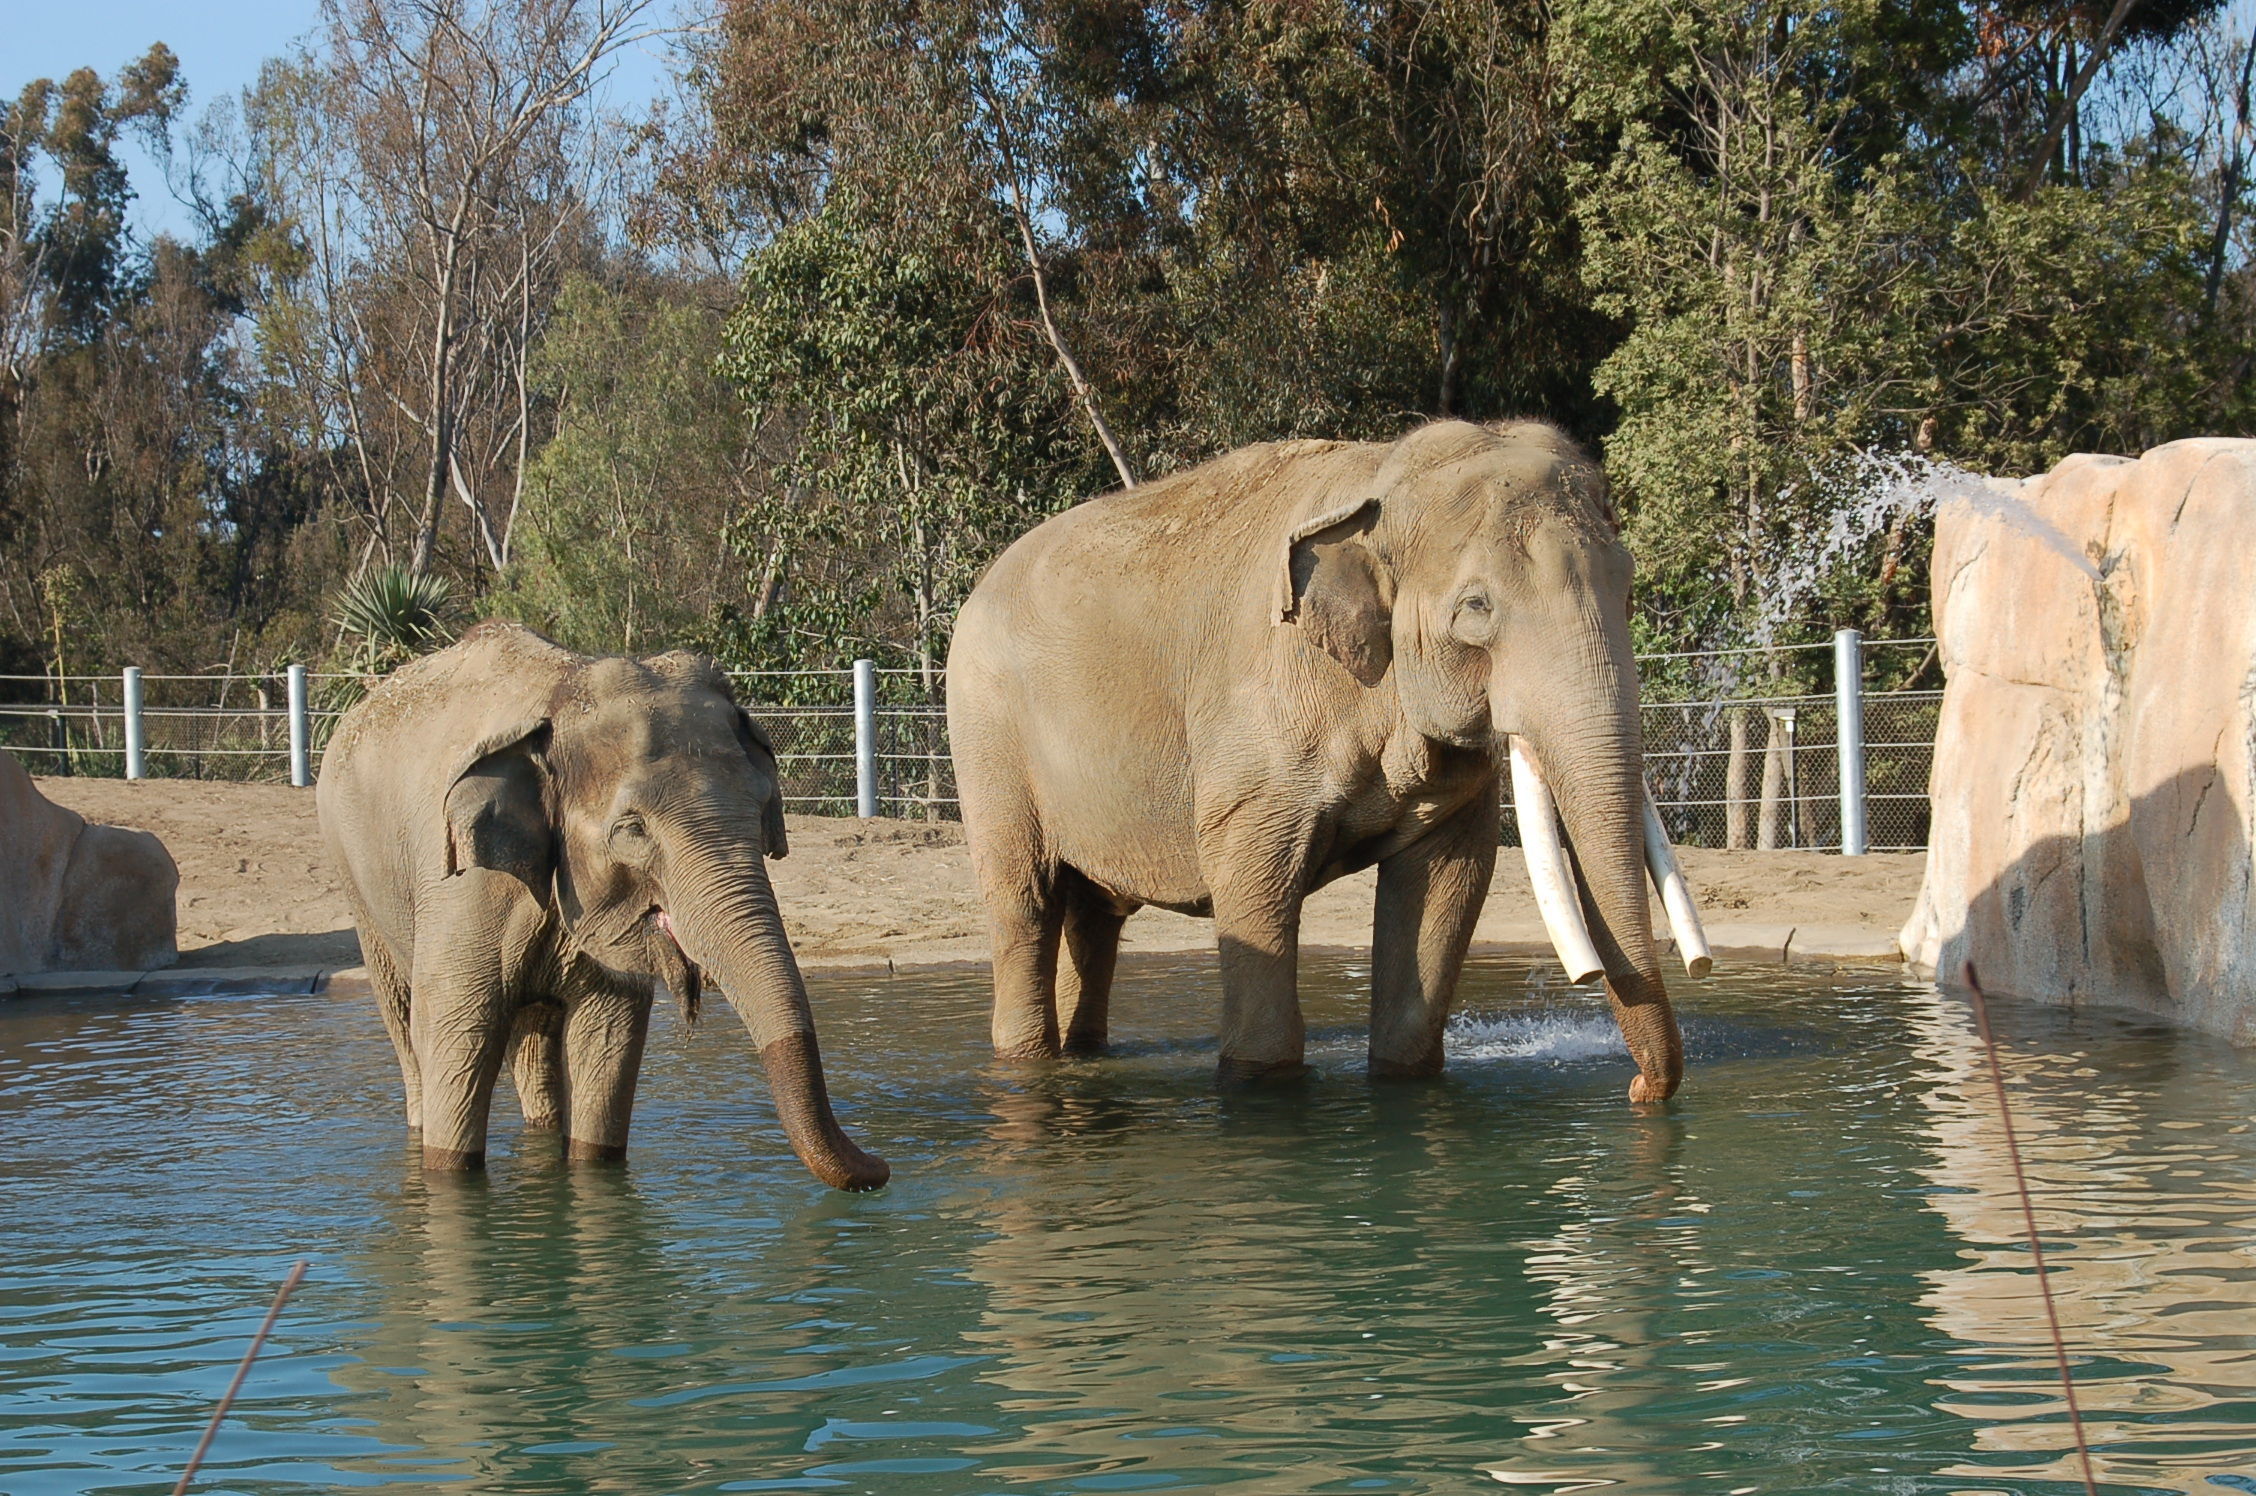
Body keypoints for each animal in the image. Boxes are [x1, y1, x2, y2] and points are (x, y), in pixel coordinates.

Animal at [318, 618, 879, 1191]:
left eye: (763, 809)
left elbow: (607, 1033)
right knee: (404, 1016)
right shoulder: (466, 890)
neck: (567, 694)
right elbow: (459, 1029)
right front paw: (451, 1178)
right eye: (632, 830)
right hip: (354, 872)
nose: (881, 1168)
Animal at [943, 421, 1696, 1101]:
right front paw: (1261, 1086)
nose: (1638, 1089)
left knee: (1094, 916)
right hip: (987, 736)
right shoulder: (1259, 710)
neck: (1380, 477)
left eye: (1628, 587)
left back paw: (1087, 1056)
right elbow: (1250, 872)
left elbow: (1447, 878)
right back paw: (1026, 1062)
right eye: (1476, 608)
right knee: (1026, 901)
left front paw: (1401, 1082)